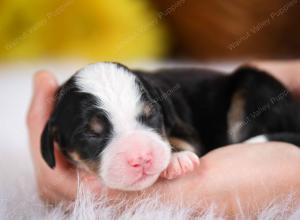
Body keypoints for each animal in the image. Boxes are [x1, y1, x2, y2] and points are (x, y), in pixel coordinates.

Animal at [41, 62, 300, 191]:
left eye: (151, 115)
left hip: (253, 87)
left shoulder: (185, 128)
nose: (142, 158)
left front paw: (177, 160)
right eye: (91, 134)